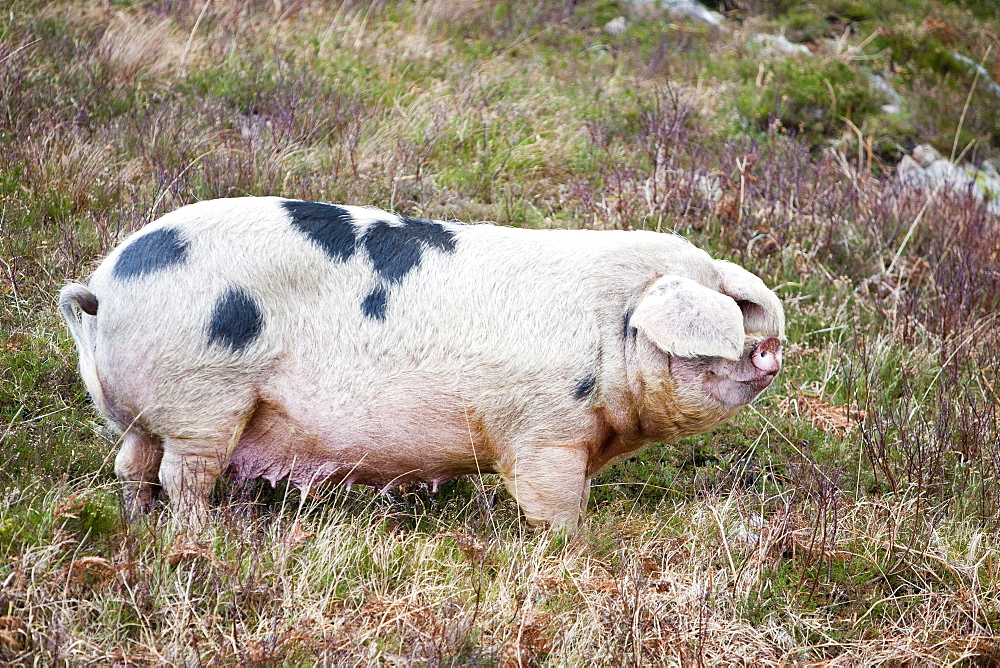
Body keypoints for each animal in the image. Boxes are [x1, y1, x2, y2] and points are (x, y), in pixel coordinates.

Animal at [58, 197, 784, 532]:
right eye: (730, 318)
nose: (775, 349)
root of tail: (103, 289)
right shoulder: (545, 431)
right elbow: (553, 501)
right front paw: (574, 545)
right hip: (203, 396)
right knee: (184, 474)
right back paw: (204, 534)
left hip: (146, 411)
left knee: (133, 463)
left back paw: (138, 522)